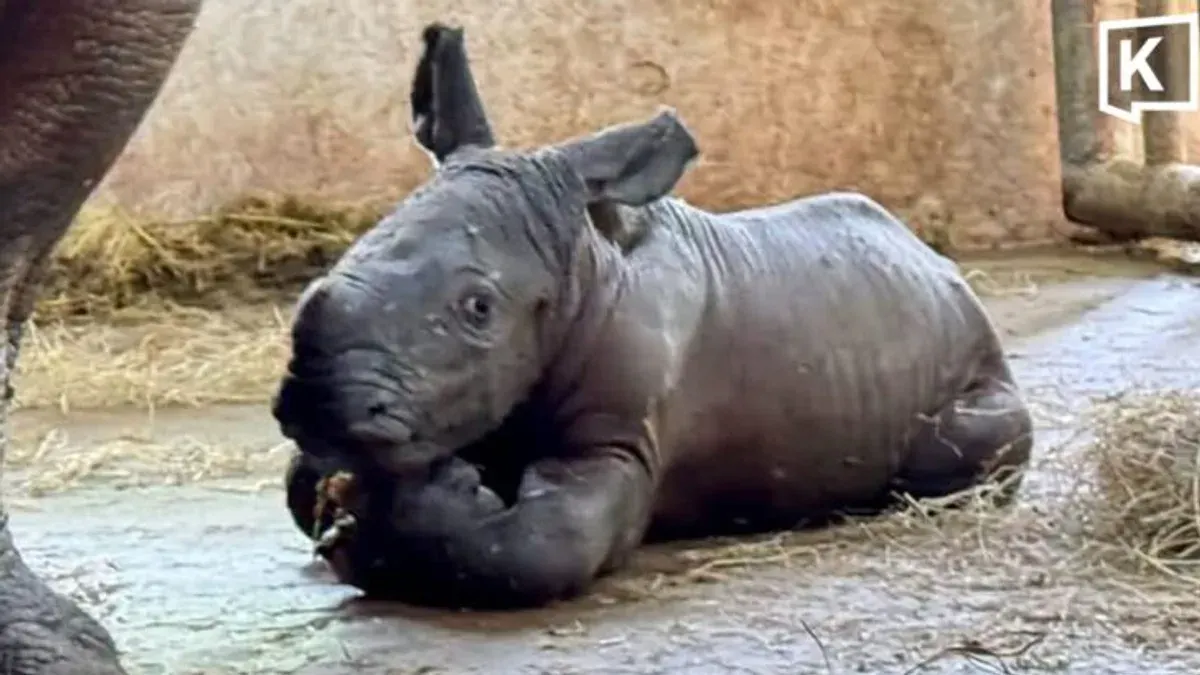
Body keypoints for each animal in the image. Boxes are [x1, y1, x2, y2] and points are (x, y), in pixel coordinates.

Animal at [275, 23, 1034, 610]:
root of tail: (939, 265)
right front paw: (353, 510)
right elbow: (299, 486)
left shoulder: (619, 437)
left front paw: (416, 508)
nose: (316, 403)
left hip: (976, 367)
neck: (580, 259)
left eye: (479, 309)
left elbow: (546, 545)